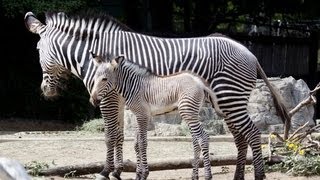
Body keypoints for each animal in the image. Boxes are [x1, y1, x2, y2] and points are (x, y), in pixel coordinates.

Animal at [90, 54, 225, 180]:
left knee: (203, 138)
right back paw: (194, 175)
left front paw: (144, 174)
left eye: (104, 79)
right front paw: (138, 175)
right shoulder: (137, 115)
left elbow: (142, 143)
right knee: (197, 140)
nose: (93, 101)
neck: (133, 86)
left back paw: (207, 175)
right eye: (95, 79)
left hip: (188, 112)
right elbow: (137, 144)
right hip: (190, 113)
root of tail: (198, 81)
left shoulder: (142, 115)